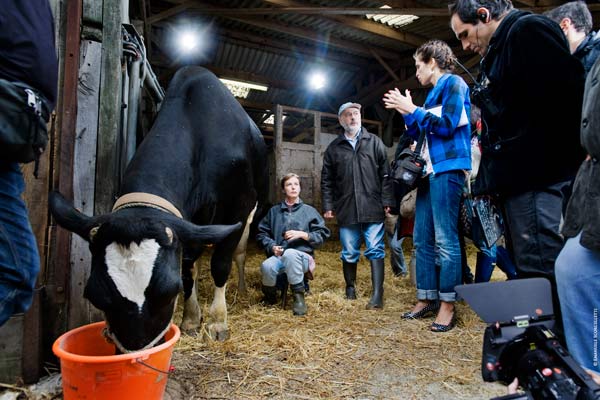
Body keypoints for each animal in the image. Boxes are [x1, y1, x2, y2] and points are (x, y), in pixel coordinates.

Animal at [50, 66, 266, 354]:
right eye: (94, 296)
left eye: (167, 292)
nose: (135, 359)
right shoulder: (187, 226)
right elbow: (187, 269)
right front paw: (191, 319)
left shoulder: (238, 205)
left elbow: (220, 264)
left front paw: (217, 322)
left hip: (249, 213)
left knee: (239, 254)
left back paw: (240, 290)